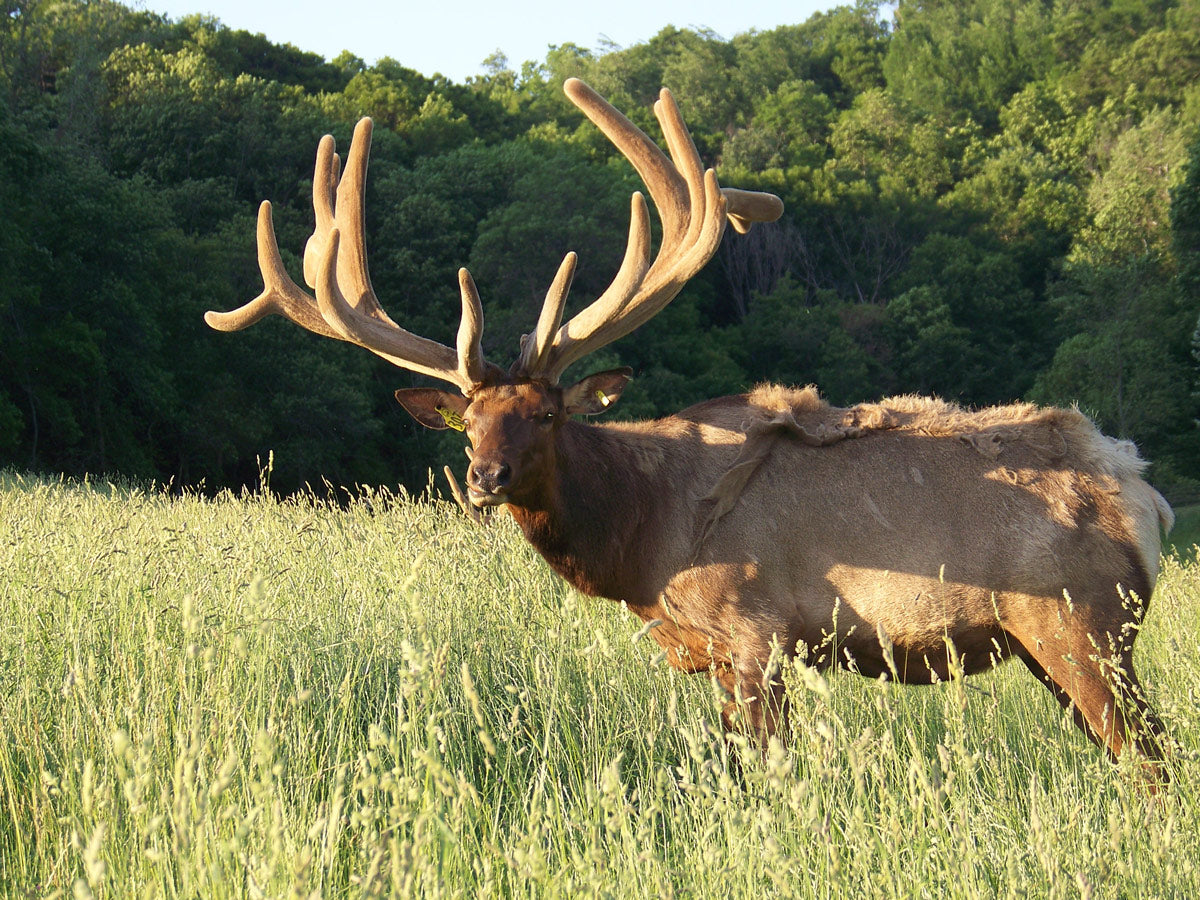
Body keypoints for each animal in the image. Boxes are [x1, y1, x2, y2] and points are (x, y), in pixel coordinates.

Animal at [206, 78, 1174, 778]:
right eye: (467, 421)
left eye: (548, 413)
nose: (483, 479)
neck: (644, 537)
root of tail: (1146, 497)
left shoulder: (754, 628)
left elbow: (764, 775)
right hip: (1057, 642)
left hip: (1082, 622)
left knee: (1154, 761)